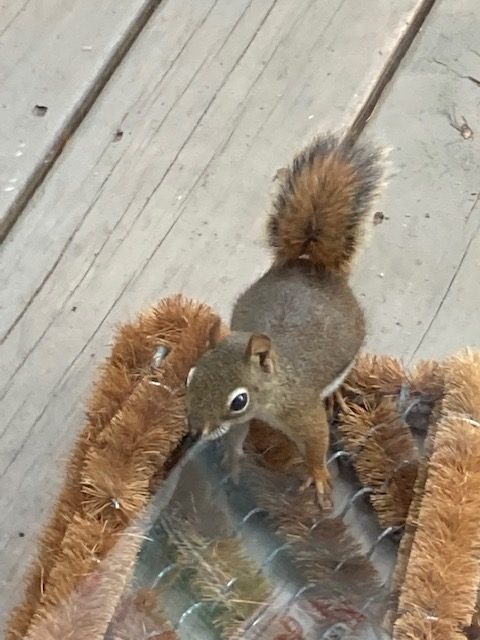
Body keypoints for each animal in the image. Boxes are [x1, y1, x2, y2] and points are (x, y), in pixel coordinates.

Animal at [186, 132, 384, 508]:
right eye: (191, 376)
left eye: (238, 400)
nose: (195, 430)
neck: (273, 391)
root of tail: (310, 267)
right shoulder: (243, 421)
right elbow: (235, 436)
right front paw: (232, 460)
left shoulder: (303, 410)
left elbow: (317, 443)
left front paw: (318, 475)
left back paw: (335, 396)